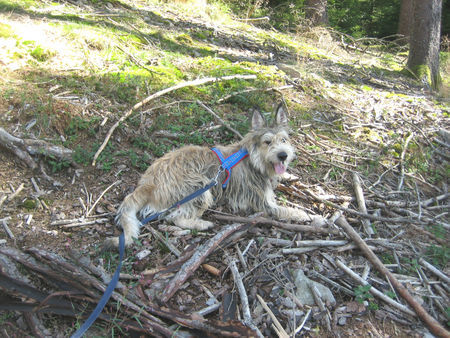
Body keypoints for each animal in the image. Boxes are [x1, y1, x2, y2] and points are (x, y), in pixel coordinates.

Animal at [105, 105, 324, 248]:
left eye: (284, 140)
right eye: (267, 142)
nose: (283, 155)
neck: (253, 159)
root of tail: (148, 183)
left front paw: (289, 176)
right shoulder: (264, 204)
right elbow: (289, 211)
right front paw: (313, 216)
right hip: (200, 186)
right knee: (175, 218)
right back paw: (202, 223)